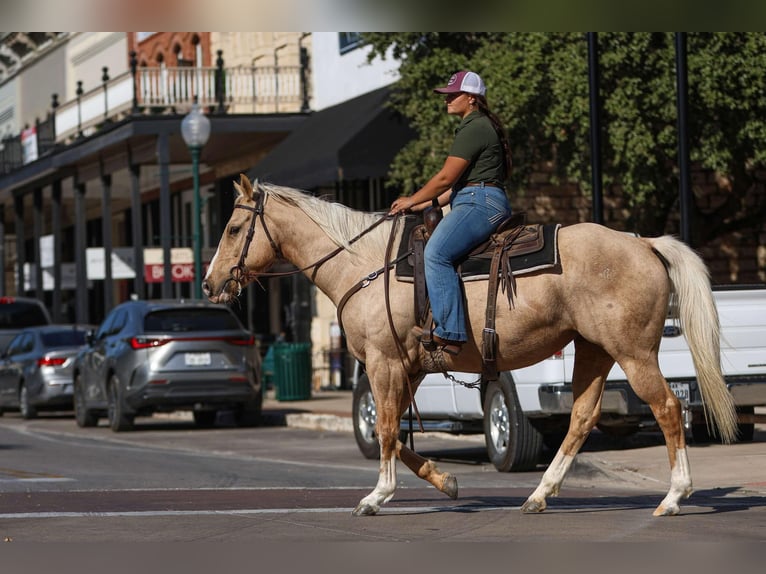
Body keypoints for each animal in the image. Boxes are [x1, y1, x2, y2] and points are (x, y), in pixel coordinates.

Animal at [203, 174, 737, 517]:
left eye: (232, 229)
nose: (209, 284)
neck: (364, 263)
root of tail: (643, 242)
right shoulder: (408, 366)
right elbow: (394, 433)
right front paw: (447, 480)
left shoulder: (382, 363)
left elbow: (385, 430)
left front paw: (377, 497)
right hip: (594, 349)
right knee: (582, 419)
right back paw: (539, 494)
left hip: (633, 352)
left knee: (667, 408)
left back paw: (674, 497)